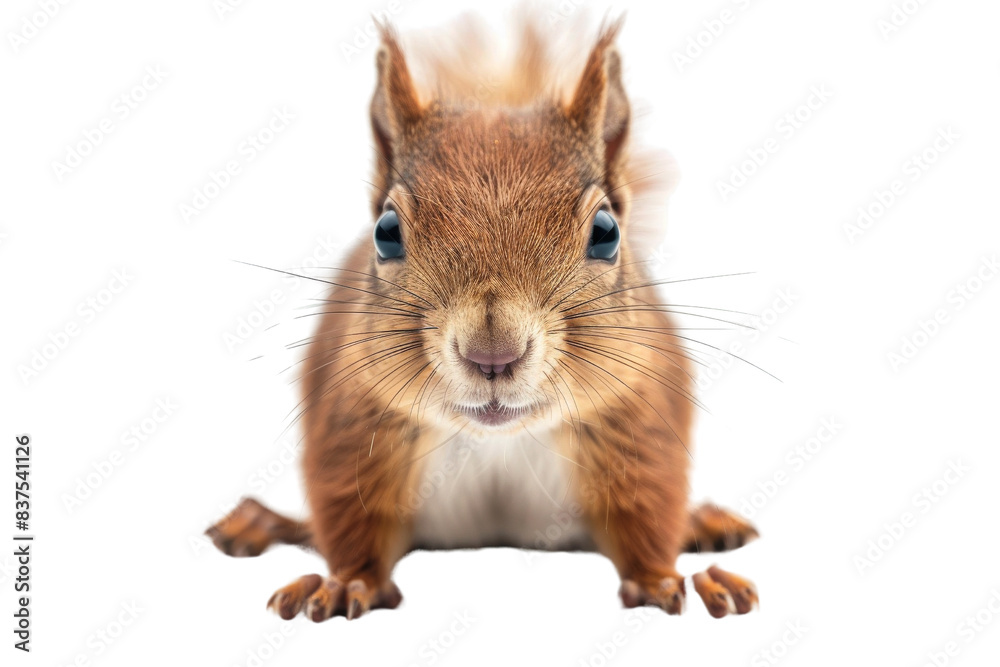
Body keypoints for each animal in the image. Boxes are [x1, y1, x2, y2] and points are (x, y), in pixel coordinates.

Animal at [207, 15, 759, 621]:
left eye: (607, 233)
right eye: (386, 232)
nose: (492, 354)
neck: (497, 441)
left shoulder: (635, 429)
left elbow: (646, 517)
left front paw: (660, 578)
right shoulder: (353, 434)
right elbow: (353, 524)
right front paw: (349, 583)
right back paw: (260, 522)